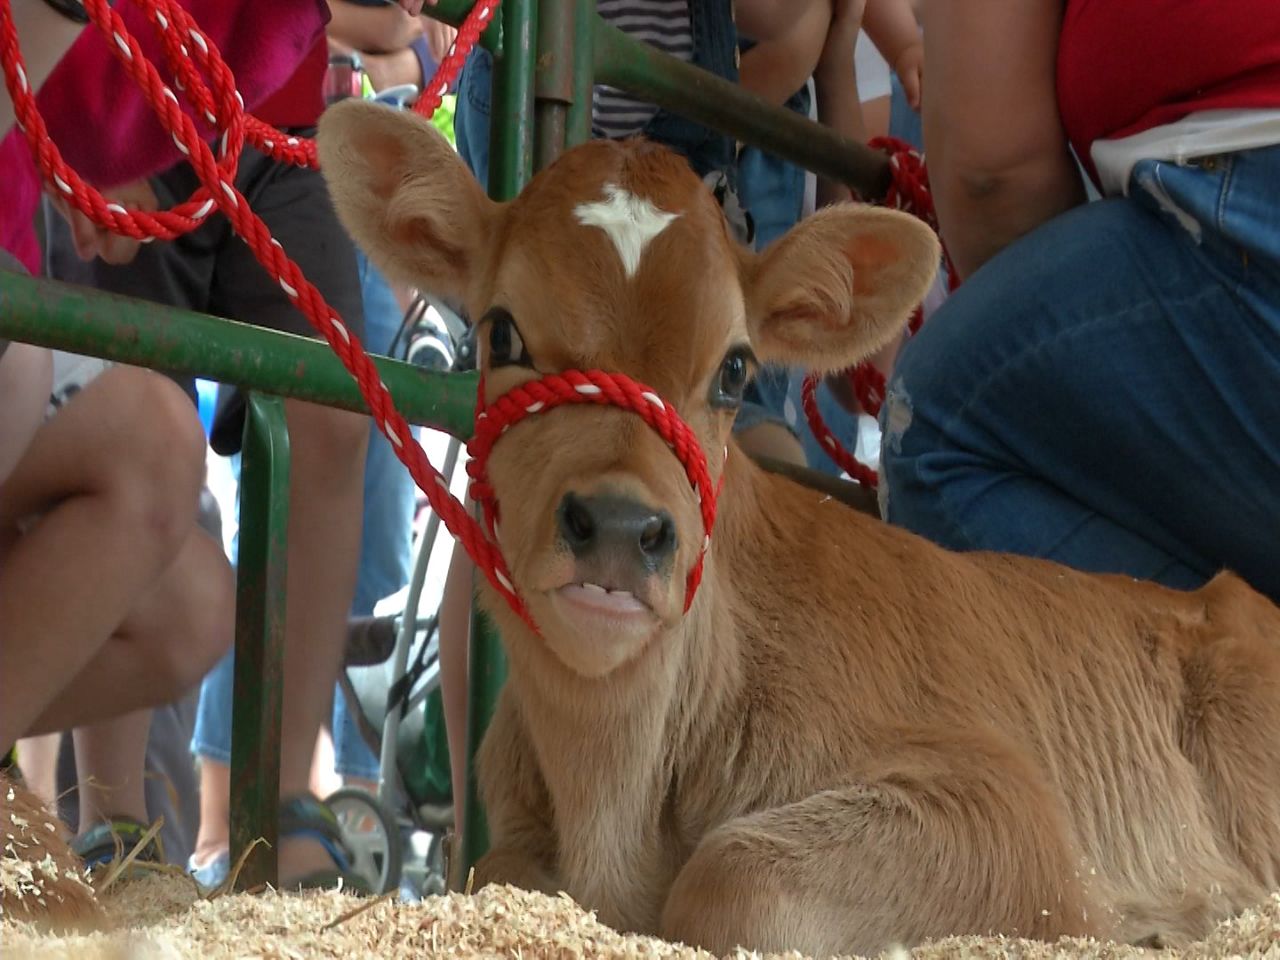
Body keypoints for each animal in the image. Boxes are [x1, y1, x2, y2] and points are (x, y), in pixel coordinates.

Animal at [317, 101, 1280, 957]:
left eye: (737, 369)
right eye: (502, 332)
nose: (623, 527)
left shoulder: (1014, 813)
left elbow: (731, 876)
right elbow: (496, 872)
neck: (614, 796)